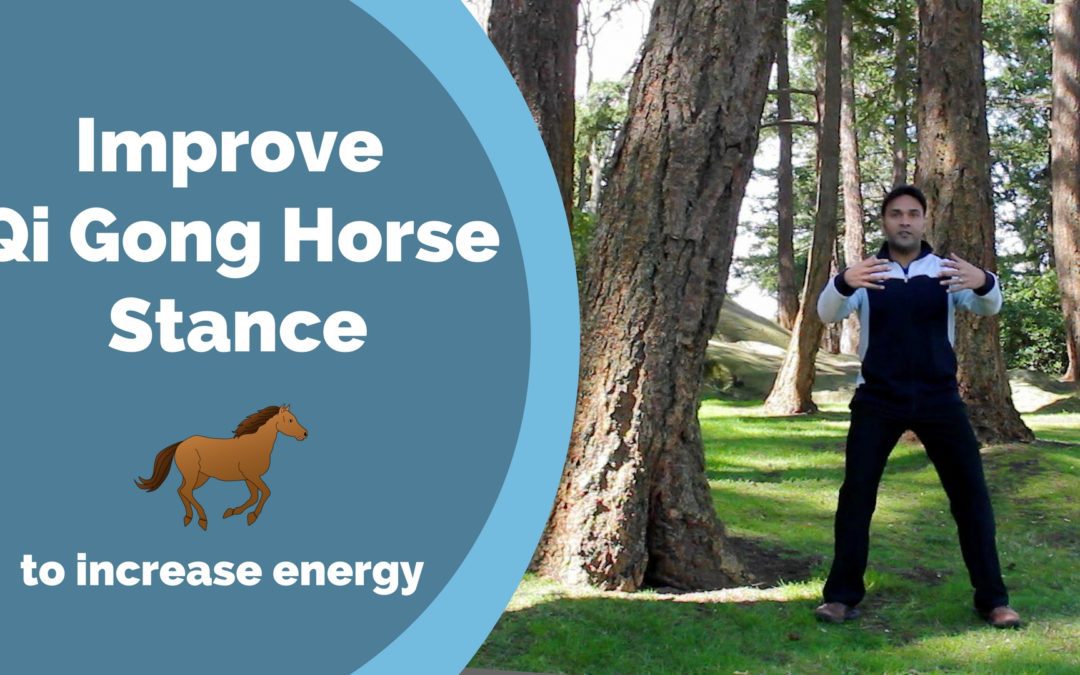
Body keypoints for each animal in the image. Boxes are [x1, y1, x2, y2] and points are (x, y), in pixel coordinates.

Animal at [135, 405, 308, 530]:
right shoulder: (252, 475)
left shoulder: (248, 477)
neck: (256, 445)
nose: (305, 434)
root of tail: (181, 444)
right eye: (290, 420)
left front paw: (232, 512)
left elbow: (254, 496)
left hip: (200, 476)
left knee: (181, 490)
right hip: (193, 474)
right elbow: (266, 492)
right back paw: (203, 520)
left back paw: (188, 518)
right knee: (186, 491)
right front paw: (252, 517)